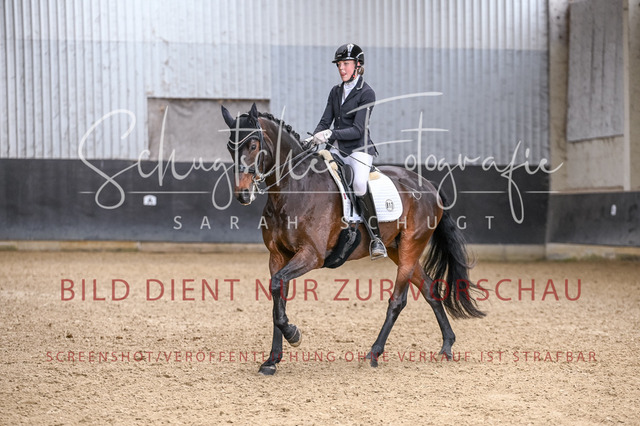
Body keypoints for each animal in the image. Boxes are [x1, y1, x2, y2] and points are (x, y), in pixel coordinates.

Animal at [220, 103, 485, 375]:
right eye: (231, 147)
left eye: (253, 145)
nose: (243, 194)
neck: (294, 189)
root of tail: (429, 186)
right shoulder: (277, 256)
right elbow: (277, 294)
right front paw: (272, 360)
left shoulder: (311, 255)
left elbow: (278, 288)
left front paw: (293, 335)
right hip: (396, 249)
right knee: (430, 289)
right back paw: (447, 345)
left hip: (411, 246)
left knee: (398, 300)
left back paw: (373, 353)